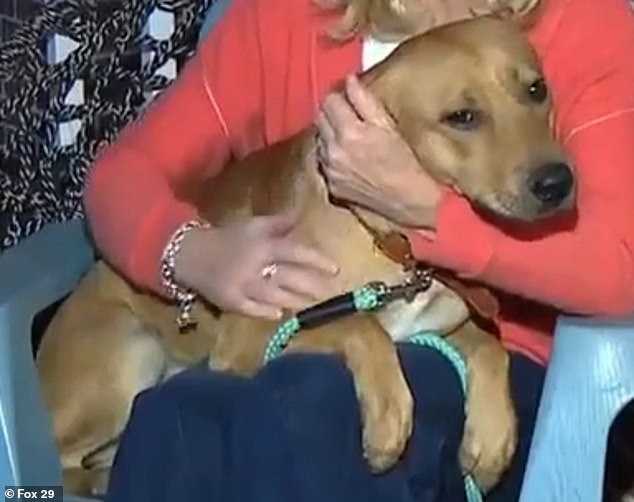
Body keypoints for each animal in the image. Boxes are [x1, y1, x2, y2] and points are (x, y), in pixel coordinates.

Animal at [37, 15, 576, 498]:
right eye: (462, 117)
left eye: (536, 90)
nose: (558, 182)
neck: (389, 244)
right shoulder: (255, 334)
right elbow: (363, 326)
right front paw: (389, 415)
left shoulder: (438, 327)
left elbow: (489, 348)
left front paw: (492, 437)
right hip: (132, 354)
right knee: (66, 460)